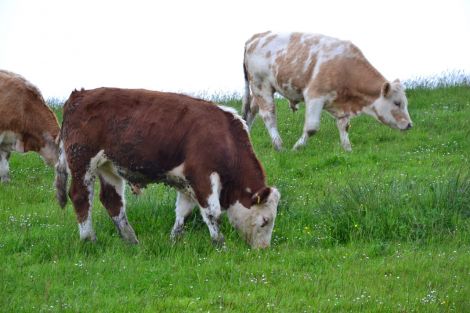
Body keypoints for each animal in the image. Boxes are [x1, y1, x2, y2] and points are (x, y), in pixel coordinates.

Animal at [56, 86, 280, 247]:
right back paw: (89, 239)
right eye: (265, 221)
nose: (263, 249)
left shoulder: (187, 182)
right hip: (82, 160)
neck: (225, 136)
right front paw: (220, 244)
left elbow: (183, 211)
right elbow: (212, 212)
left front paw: (174, 240)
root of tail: (80, 94)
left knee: (112, 200)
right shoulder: (202, 175)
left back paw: (131, 240)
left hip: (108, 166)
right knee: (80, 196)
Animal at [242, 31, 412, 151]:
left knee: (251, 111)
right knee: (268, 115)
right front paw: (297, 147)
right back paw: (278, 145)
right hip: (261, 85)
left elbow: (344, 125)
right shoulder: (314, 95)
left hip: (258, 91)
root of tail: (256, 37)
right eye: (397, 103)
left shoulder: (339, 102)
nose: (410, 125)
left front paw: (347, 149)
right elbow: (311, 128)